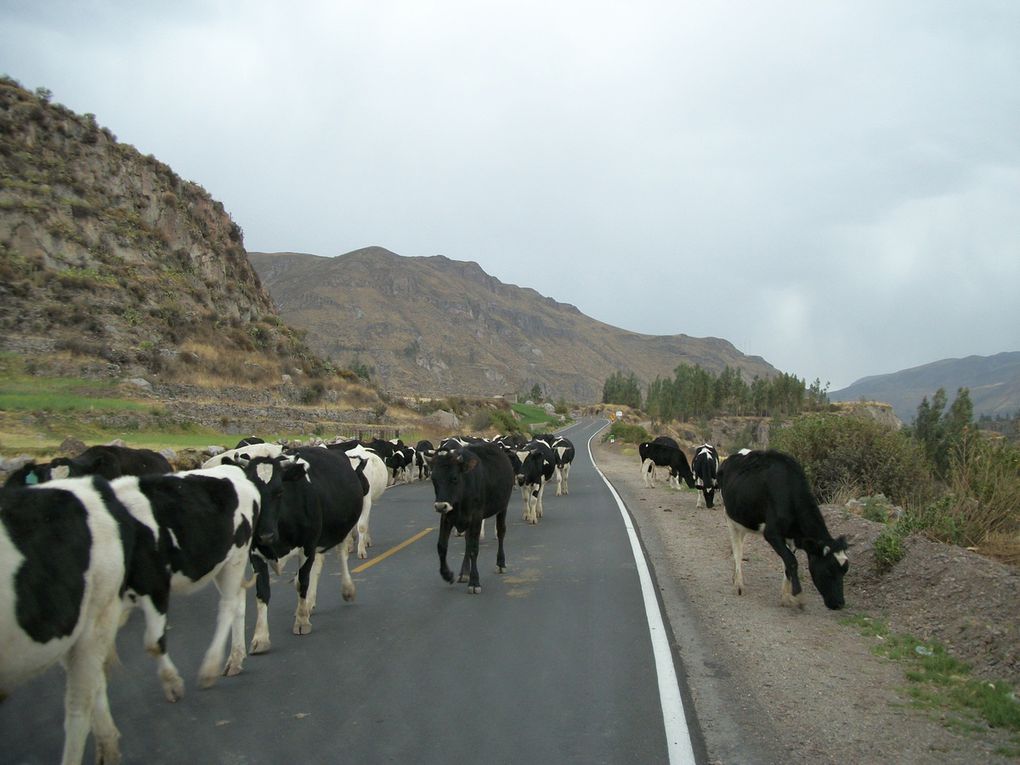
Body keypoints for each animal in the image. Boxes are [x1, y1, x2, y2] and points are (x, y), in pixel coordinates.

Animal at [243, 448, 367, 652]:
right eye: (251, 495)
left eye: (280, 492)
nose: (265, 535)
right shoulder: (255, 554)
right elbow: (262, 592)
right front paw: (260, 638)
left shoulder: (308, 545)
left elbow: (302, 583)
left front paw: (302, 622)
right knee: (318, 563)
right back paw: (309, 604)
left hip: (340, 529)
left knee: (341, 555)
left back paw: (347, 590)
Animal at [430, 440, 514, 595]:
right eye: (434, 479)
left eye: (454, 478)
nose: (440, 506)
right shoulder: (446, 517)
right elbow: (442, 546)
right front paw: (447, 574)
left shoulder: (476, 517)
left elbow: (474, 549)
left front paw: (474, 582)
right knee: (467, 541)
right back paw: (464, 573)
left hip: (503, 507)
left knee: (500, 532)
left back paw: (500, 564)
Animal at [718, 448, 852, 612]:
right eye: (829, 570)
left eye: (845, 570)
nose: (840, 604)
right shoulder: (772, 534)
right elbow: (792, 561)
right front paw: (798, 596)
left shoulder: (791, 537)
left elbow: (787, 564)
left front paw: (786, 597)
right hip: (730, 518)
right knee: (738, 551)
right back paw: (738, 583)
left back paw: (734, 578)